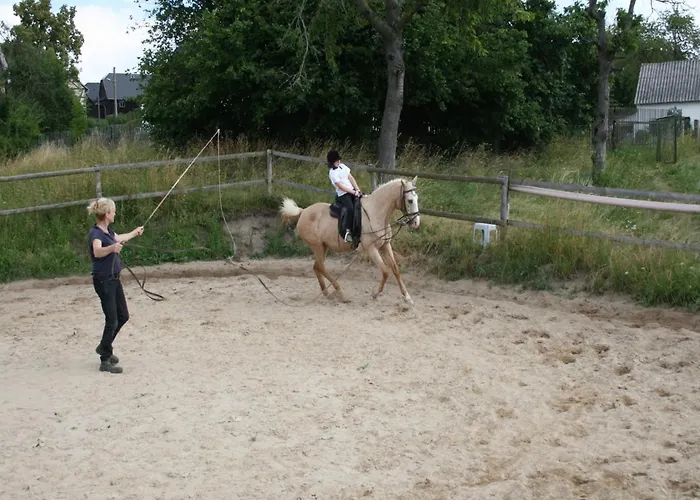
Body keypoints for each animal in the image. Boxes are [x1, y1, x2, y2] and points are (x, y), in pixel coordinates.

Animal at [279, 176, 421, 305]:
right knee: (320, 267)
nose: (416, 223)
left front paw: (407, 298)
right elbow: (386, 272)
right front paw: (375, 294)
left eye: (417, 199)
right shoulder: (371, 249)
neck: (375, 214)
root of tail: (303, 212)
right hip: (317, 246)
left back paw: (327, 293)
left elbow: (395, 269)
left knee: (317, 267)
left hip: (323, 247)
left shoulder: (385, 245)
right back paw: (340, 292)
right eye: (410, 200)